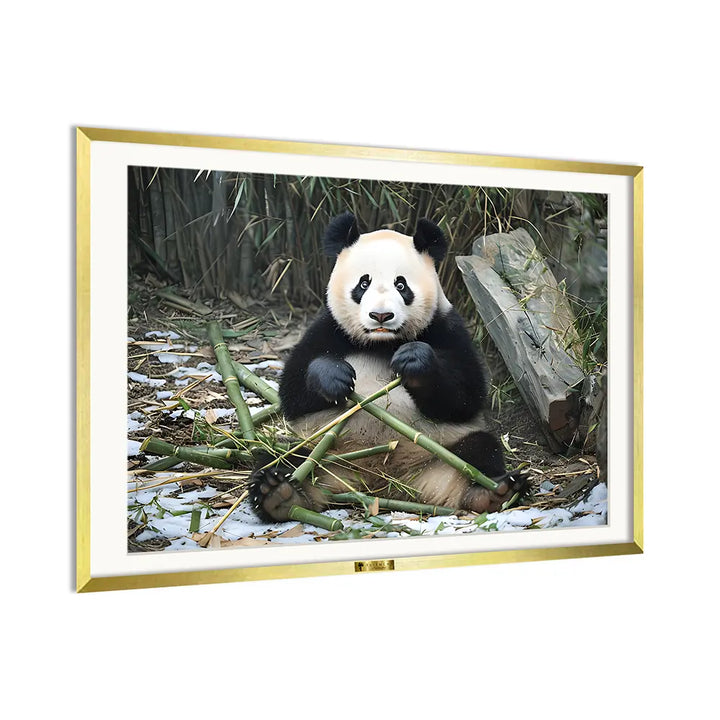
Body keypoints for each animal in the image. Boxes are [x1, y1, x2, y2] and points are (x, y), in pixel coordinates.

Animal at [249, 212, 523, 522]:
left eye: (401, 286)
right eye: (363, 284)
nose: (381, 315)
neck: (382, 343)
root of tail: (381, 483)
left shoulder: (447, 328)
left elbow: (466, 395)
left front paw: (415, 362)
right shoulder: (327, 329)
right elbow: (292, 389)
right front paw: (333, 376)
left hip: (444, 452)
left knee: (480, 450)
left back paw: (490, 493)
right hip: (321, 450)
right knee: (280, 457)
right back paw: (279, 494)